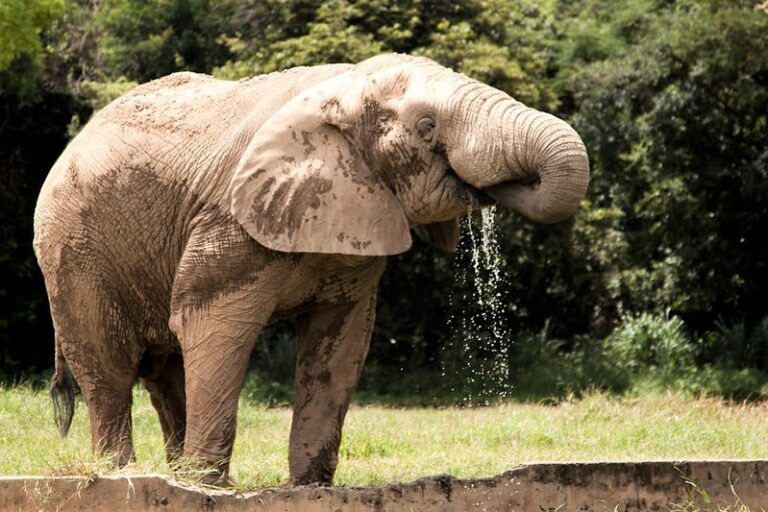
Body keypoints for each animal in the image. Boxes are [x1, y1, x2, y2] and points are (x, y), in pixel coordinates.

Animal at [33, 54, 592, 486]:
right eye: (427, 128)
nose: (494, 186)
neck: (345, 88)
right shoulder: (229, 223)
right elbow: (212, 325)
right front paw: (211, 487)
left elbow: (341, 341)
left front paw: (310, 487)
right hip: (73, 254)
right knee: (109, 371)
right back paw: (124, 476)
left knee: (165, 376)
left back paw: (170, 475)